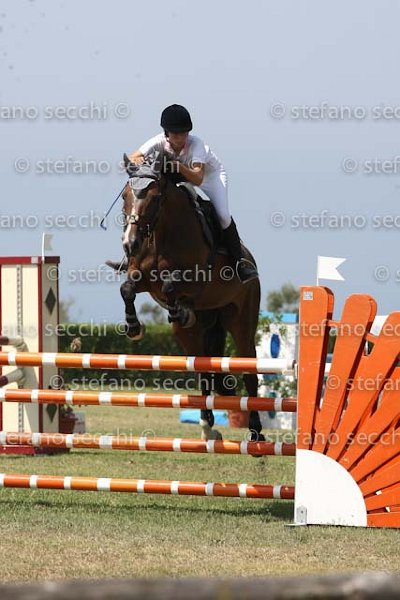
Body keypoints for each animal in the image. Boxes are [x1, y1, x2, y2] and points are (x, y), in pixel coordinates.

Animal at [118, 153, 264, 442]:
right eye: (125, 196)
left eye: (154, 198)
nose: (130, 244)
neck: (163, 234)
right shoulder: (141, 278)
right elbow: (127, 289)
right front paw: (134, 327)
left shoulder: (196, 280)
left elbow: (171, 285)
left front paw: (177, 308)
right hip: (195, 333)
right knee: (203, 370)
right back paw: (207, 426)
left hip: (242, 320)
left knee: (249, 372)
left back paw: (255, 431)